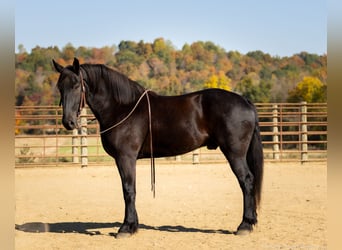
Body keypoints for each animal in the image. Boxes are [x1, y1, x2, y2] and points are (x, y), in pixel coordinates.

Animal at [52, 57, 264, 237]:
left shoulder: (125, 158)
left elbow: (128, 190)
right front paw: (133, 225)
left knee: (246, 181)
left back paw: (245, 225)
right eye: (60, 86)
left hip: (235, 153)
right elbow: (131, 189)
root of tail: (245, 102)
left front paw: (126, 228)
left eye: (76, 85)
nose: (68, 122)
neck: (122, 108)